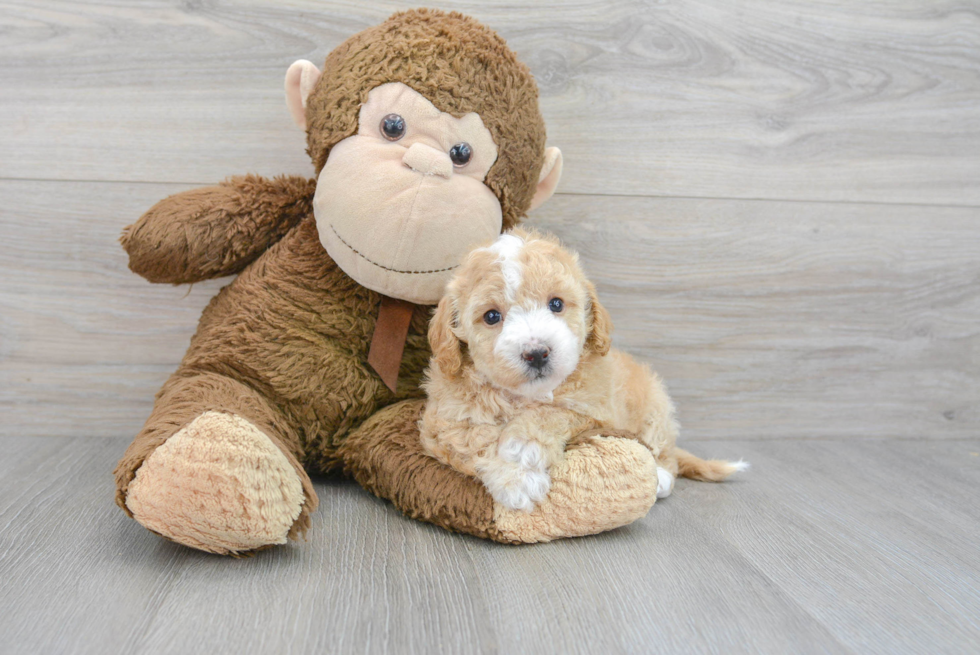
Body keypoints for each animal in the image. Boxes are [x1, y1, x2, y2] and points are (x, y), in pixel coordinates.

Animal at [418, 229, 748, 512]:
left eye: (556, 304)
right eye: (491, 316)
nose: (537, 353)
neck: (526, 397)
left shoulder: (597, 411)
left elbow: (555, 412)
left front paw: (524, 446)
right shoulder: (444, 423)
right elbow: (476, 440)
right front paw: (517, 480)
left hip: (655, 406)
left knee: (666, 454)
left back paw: (661, 478)